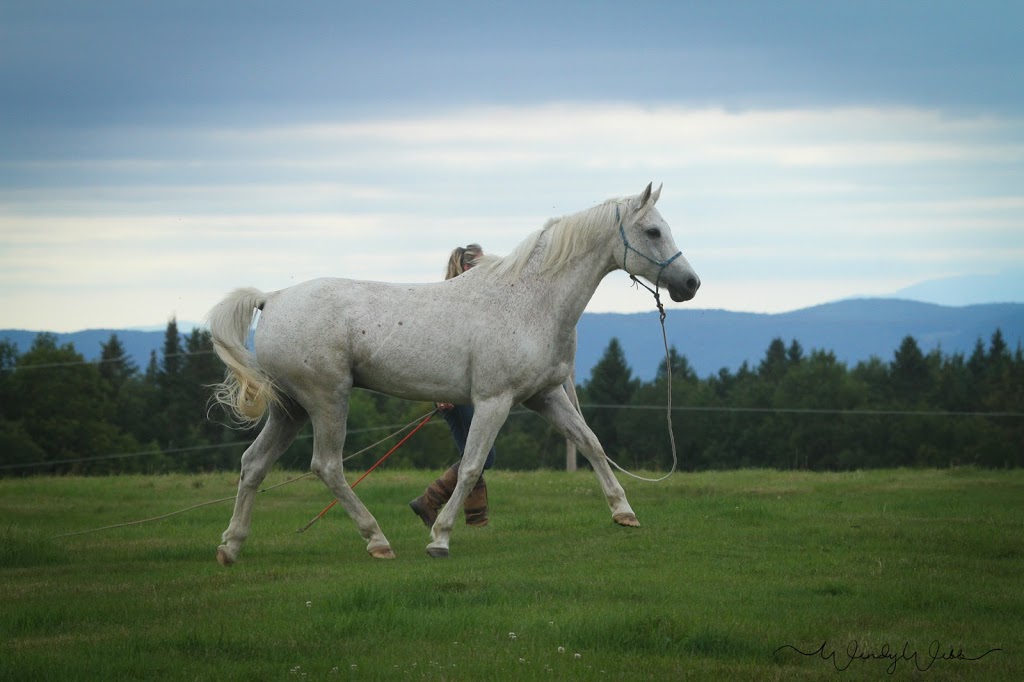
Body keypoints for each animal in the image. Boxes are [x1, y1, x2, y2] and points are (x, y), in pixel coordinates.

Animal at [207, 183, 704, 561]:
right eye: (653, 230)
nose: (690, 283)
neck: (530, 298)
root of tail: (271, 298)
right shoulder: (494, 401)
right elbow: (470, 466)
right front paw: (440, 538)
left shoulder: (544, 396)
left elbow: (591, 444)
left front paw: (624, 512)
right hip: (328, 401)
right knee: (326, 466)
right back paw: (377, 540)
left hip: (289, 409)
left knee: (253, 464)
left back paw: (231, 546)